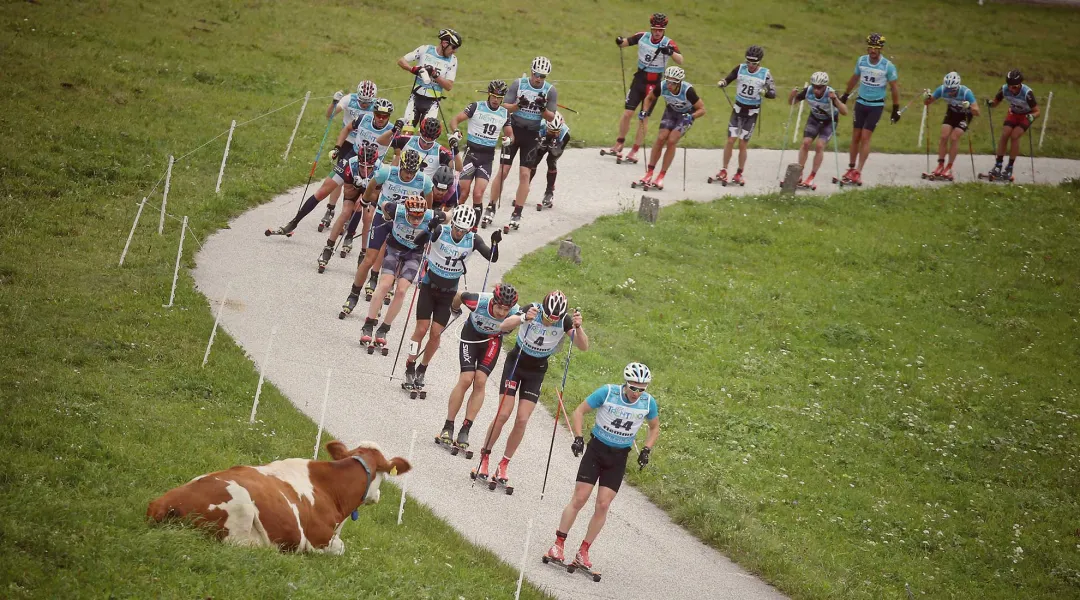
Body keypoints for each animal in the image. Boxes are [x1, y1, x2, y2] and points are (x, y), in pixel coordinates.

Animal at [147, 438, 408, 556]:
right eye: (385, 475)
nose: (378, 496)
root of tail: (162, 503)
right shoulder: (319, 541)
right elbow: (341, 548)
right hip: (241, 509)